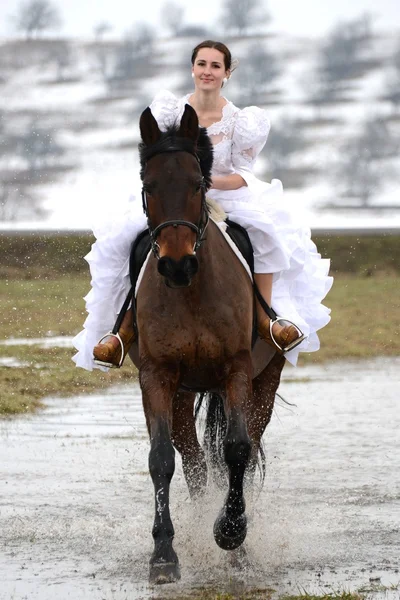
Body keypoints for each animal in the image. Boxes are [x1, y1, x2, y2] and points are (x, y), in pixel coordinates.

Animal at [130, 105, 284, 584]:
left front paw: (231, 533)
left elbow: (237, 449)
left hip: (264, 381)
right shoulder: (157, 376)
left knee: (245, 452)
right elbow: (161, 458)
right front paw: (164, 555)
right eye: (148, 186)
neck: (192, 292)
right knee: (195, 463)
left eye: (198, 183)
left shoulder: (237, 370)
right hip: (182, 393)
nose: (177, 264)